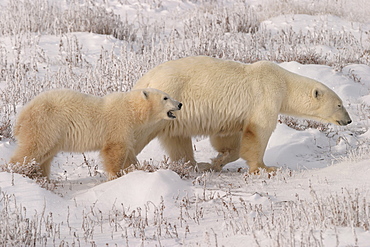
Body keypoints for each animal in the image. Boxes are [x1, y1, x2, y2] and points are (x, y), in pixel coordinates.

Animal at [134, 56, 352, 174]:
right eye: (339, 104)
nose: (348, 120)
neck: (284, 83)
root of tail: (145, 80)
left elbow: (227, 139)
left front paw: (218, 160)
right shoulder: (266, 95)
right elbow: (258, 132)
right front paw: (265, 168)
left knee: (178, 140)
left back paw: (195, 165)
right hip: (165, 101)